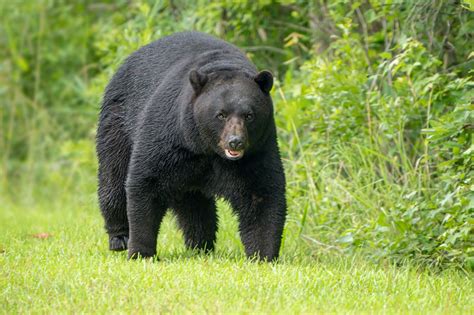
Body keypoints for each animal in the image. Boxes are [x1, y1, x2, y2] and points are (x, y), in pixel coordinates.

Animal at [97, 31, 286, 262]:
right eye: (221, 114)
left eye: (249, 115)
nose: (235, 141)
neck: (207, 149)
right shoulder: (170, 136)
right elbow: (146, 182)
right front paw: (140, 252)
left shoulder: (258, 149)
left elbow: (262, 193)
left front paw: (263, 255)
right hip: (118, 121)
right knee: (113, 176)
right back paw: (120, 237)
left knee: (194, 205)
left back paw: (200, 245)